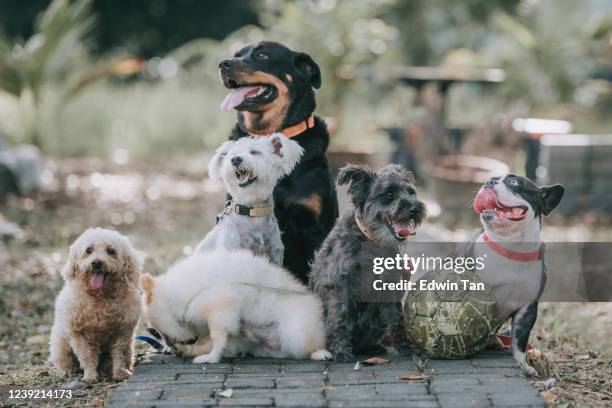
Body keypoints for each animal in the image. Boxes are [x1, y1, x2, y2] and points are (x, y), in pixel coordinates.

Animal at [49, 228, 145, 380]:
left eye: (111, 251)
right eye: (89, 250)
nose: (96, 263)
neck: (100, 297)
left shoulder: (122, 331)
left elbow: (119, 354)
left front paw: (120, 372)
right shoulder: (78, 333)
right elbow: (87, 356)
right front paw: (90, 376)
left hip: (130, 345)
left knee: (127, 356)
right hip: (60, 343)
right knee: (64, 360)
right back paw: (67, 371)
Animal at [140, 249, 330, 364]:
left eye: (163, 333)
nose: (169, 346)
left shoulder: (220, 308)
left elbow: (217, 339)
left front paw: (210, 358)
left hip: (297, 333)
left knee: (308, 346)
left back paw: (320, 353)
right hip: (264, 346)